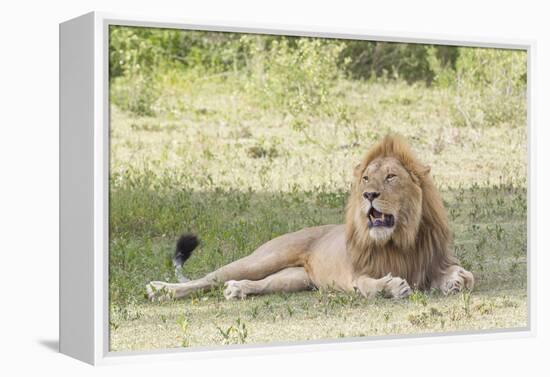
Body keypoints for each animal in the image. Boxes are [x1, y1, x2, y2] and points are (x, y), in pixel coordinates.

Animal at [149, 134, 476, 302]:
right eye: (366, 178)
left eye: (391, 177)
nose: (368, 194)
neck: (398, 240)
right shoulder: (356, 275)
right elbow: (369, 285)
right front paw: (393, 287)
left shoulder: (432, 260)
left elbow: (464, 275)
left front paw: (455, 280)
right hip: (263, 258)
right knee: (208, 278)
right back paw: (160, 290)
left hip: (294, 278)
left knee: (259, 284)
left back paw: (237, 290)